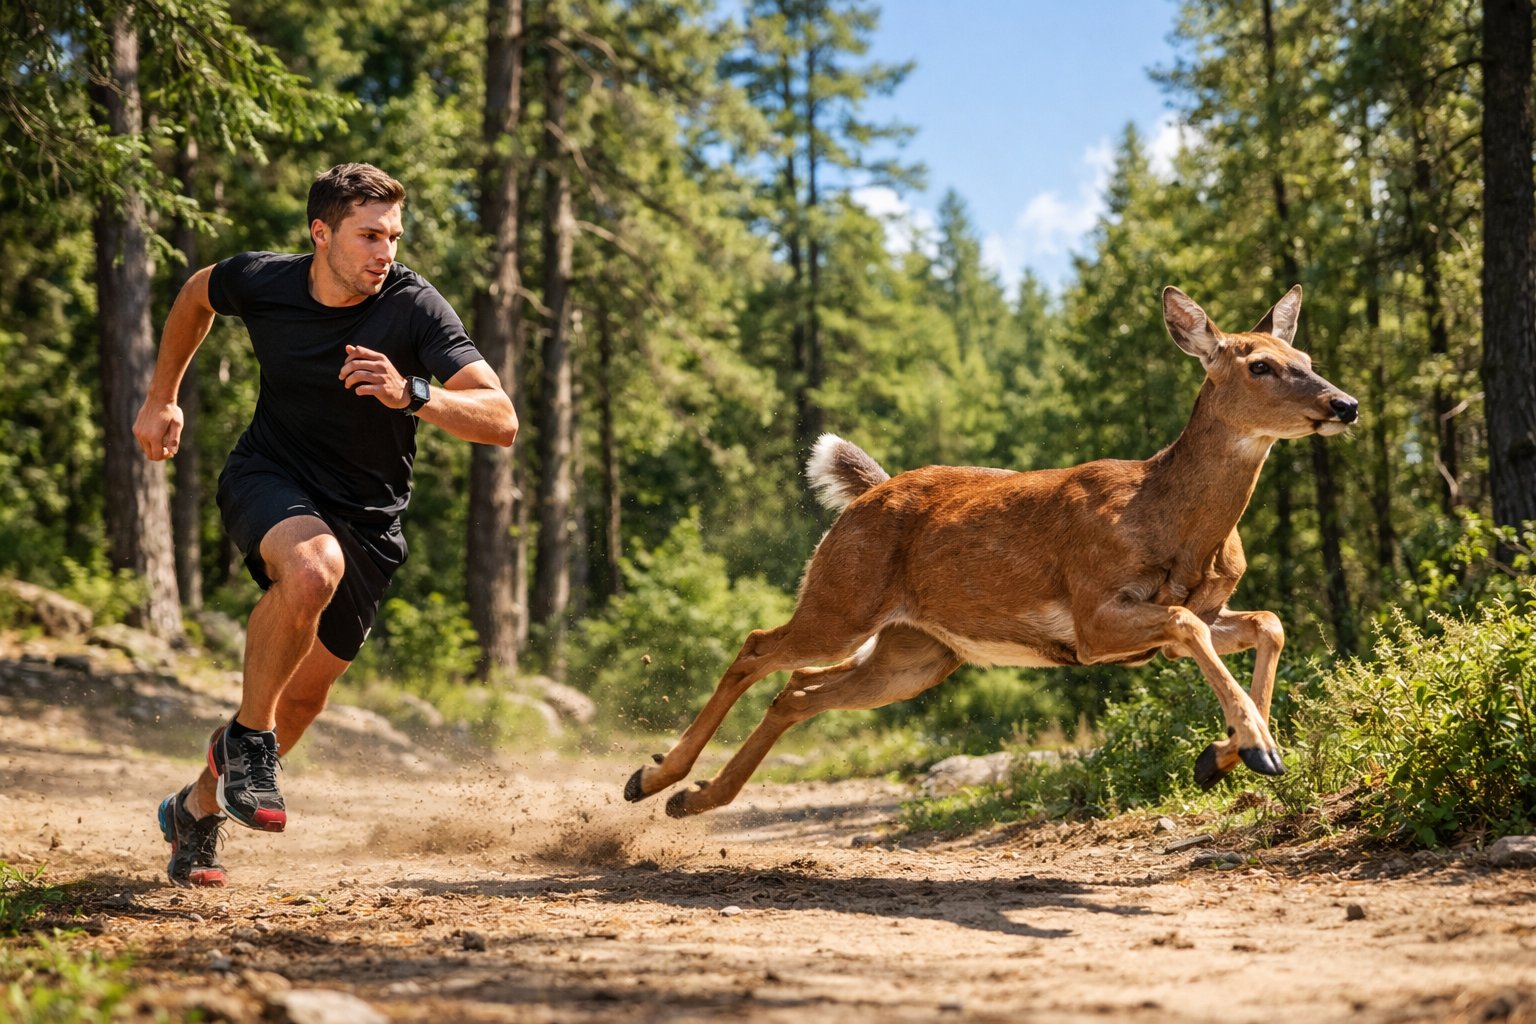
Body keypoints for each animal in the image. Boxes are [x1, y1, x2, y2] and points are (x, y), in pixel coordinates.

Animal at [623, 285, 1359, 819]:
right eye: (1260, 364)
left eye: (1309, 362)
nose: (1345, 403)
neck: (1173, 522)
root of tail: (868, 493)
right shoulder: (1094, 615)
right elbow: (1189, 623)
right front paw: (1255, 746)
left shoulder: (1203, 610)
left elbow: (1268, 622)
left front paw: (1222, 754)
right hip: (844, 598)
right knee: (756, 647)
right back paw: (654, 777)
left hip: (917, 652)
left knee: (800, 689)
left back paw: (690, 798)